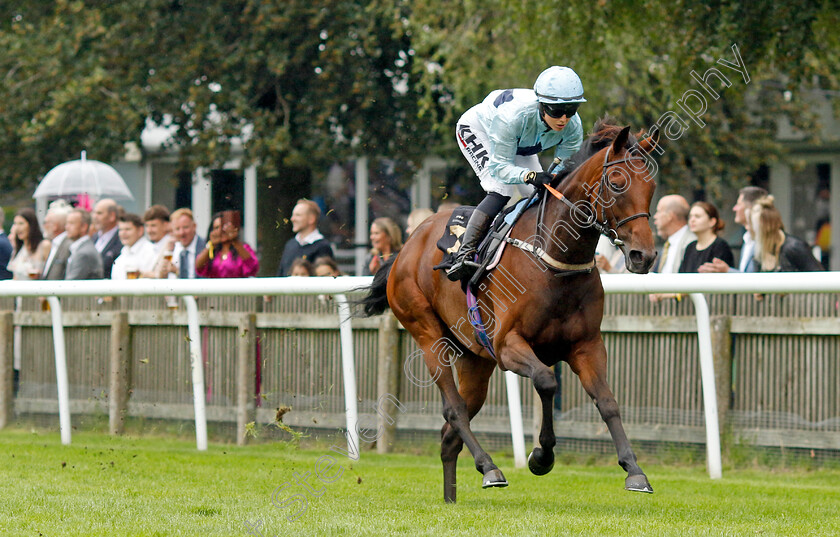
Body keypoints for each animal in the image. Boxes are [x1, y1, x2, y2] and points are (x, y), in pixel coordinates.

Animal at [360, 121, 664, 502]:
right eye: (618, 181)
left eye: (652, 186)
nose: (644, 256)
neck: (554, 260)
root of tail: (406, 246)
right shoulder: (508, 346)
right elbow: (547, 381)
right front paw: (541, 457)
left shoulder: (587, 345)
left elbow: (607, 402)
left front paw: (635, 471)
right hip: (428, 335)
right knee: (454, 409)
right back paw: (490, 467)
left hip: (475, 359)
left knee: (449, 433)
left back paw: (451, 498)